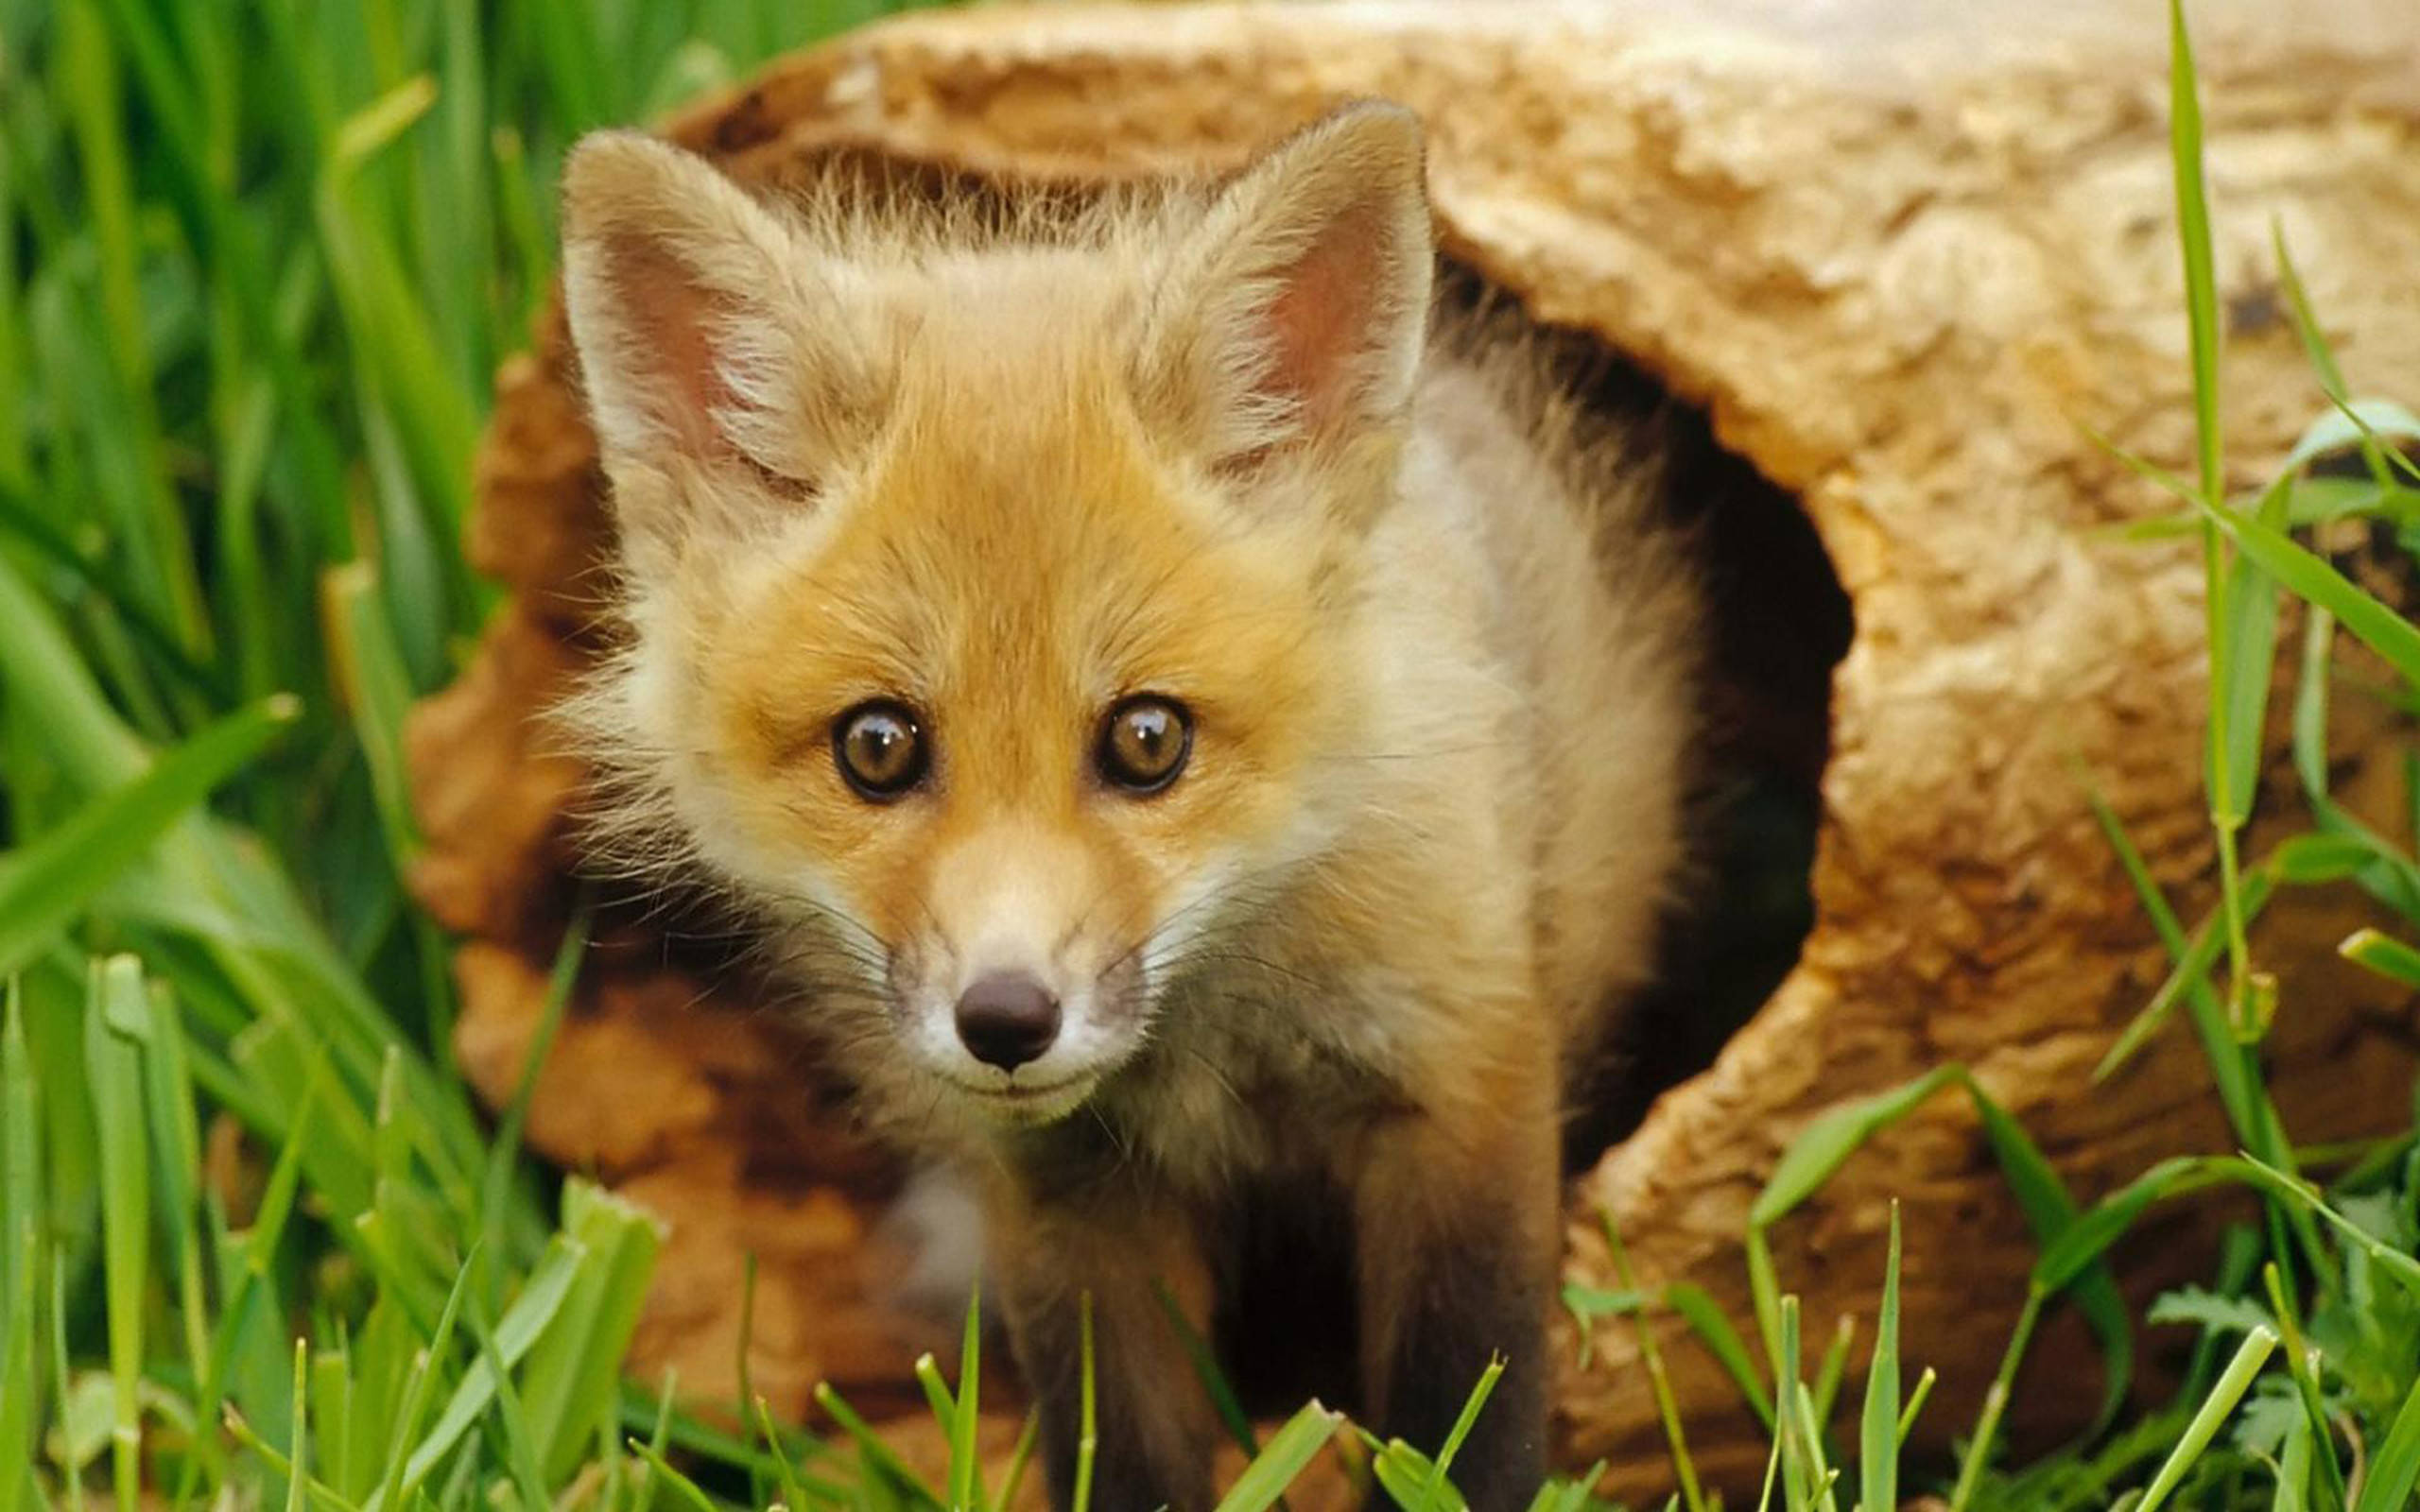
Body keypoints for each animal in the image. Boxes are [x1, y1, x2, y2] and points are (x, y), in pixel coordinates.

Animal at [555, 101, 1699, 1510]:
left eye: (1147, 741)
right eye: (878, 747)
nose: (1005, 1019)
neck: (1215, 1049)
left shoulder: (1462, 1076)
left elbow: (1461, 1424)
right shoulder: (1067, 1196)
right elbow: (1128, 1453)